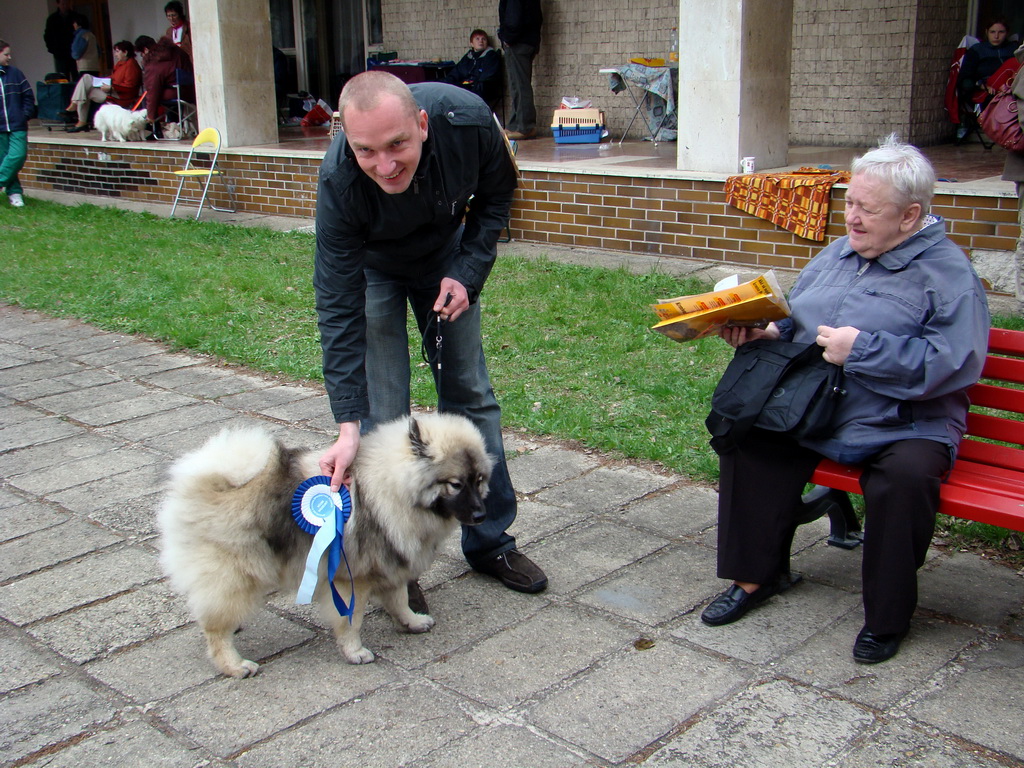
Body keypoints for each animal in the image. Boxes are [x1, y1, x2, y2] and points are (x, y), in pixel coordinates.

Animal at [157, 415, 493, 679]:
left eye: (478, 480)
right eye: (455, 484)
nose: (481, 515)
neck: (389, 488)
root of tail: (209, 482)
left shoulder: (388, 562)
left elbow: (398, 600)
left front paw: (412, 621)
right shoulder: (351, 579)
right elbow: (351, 620)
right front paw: (355, 651)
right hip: (234, 573)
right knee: (215, 629)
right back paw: (234, 665)